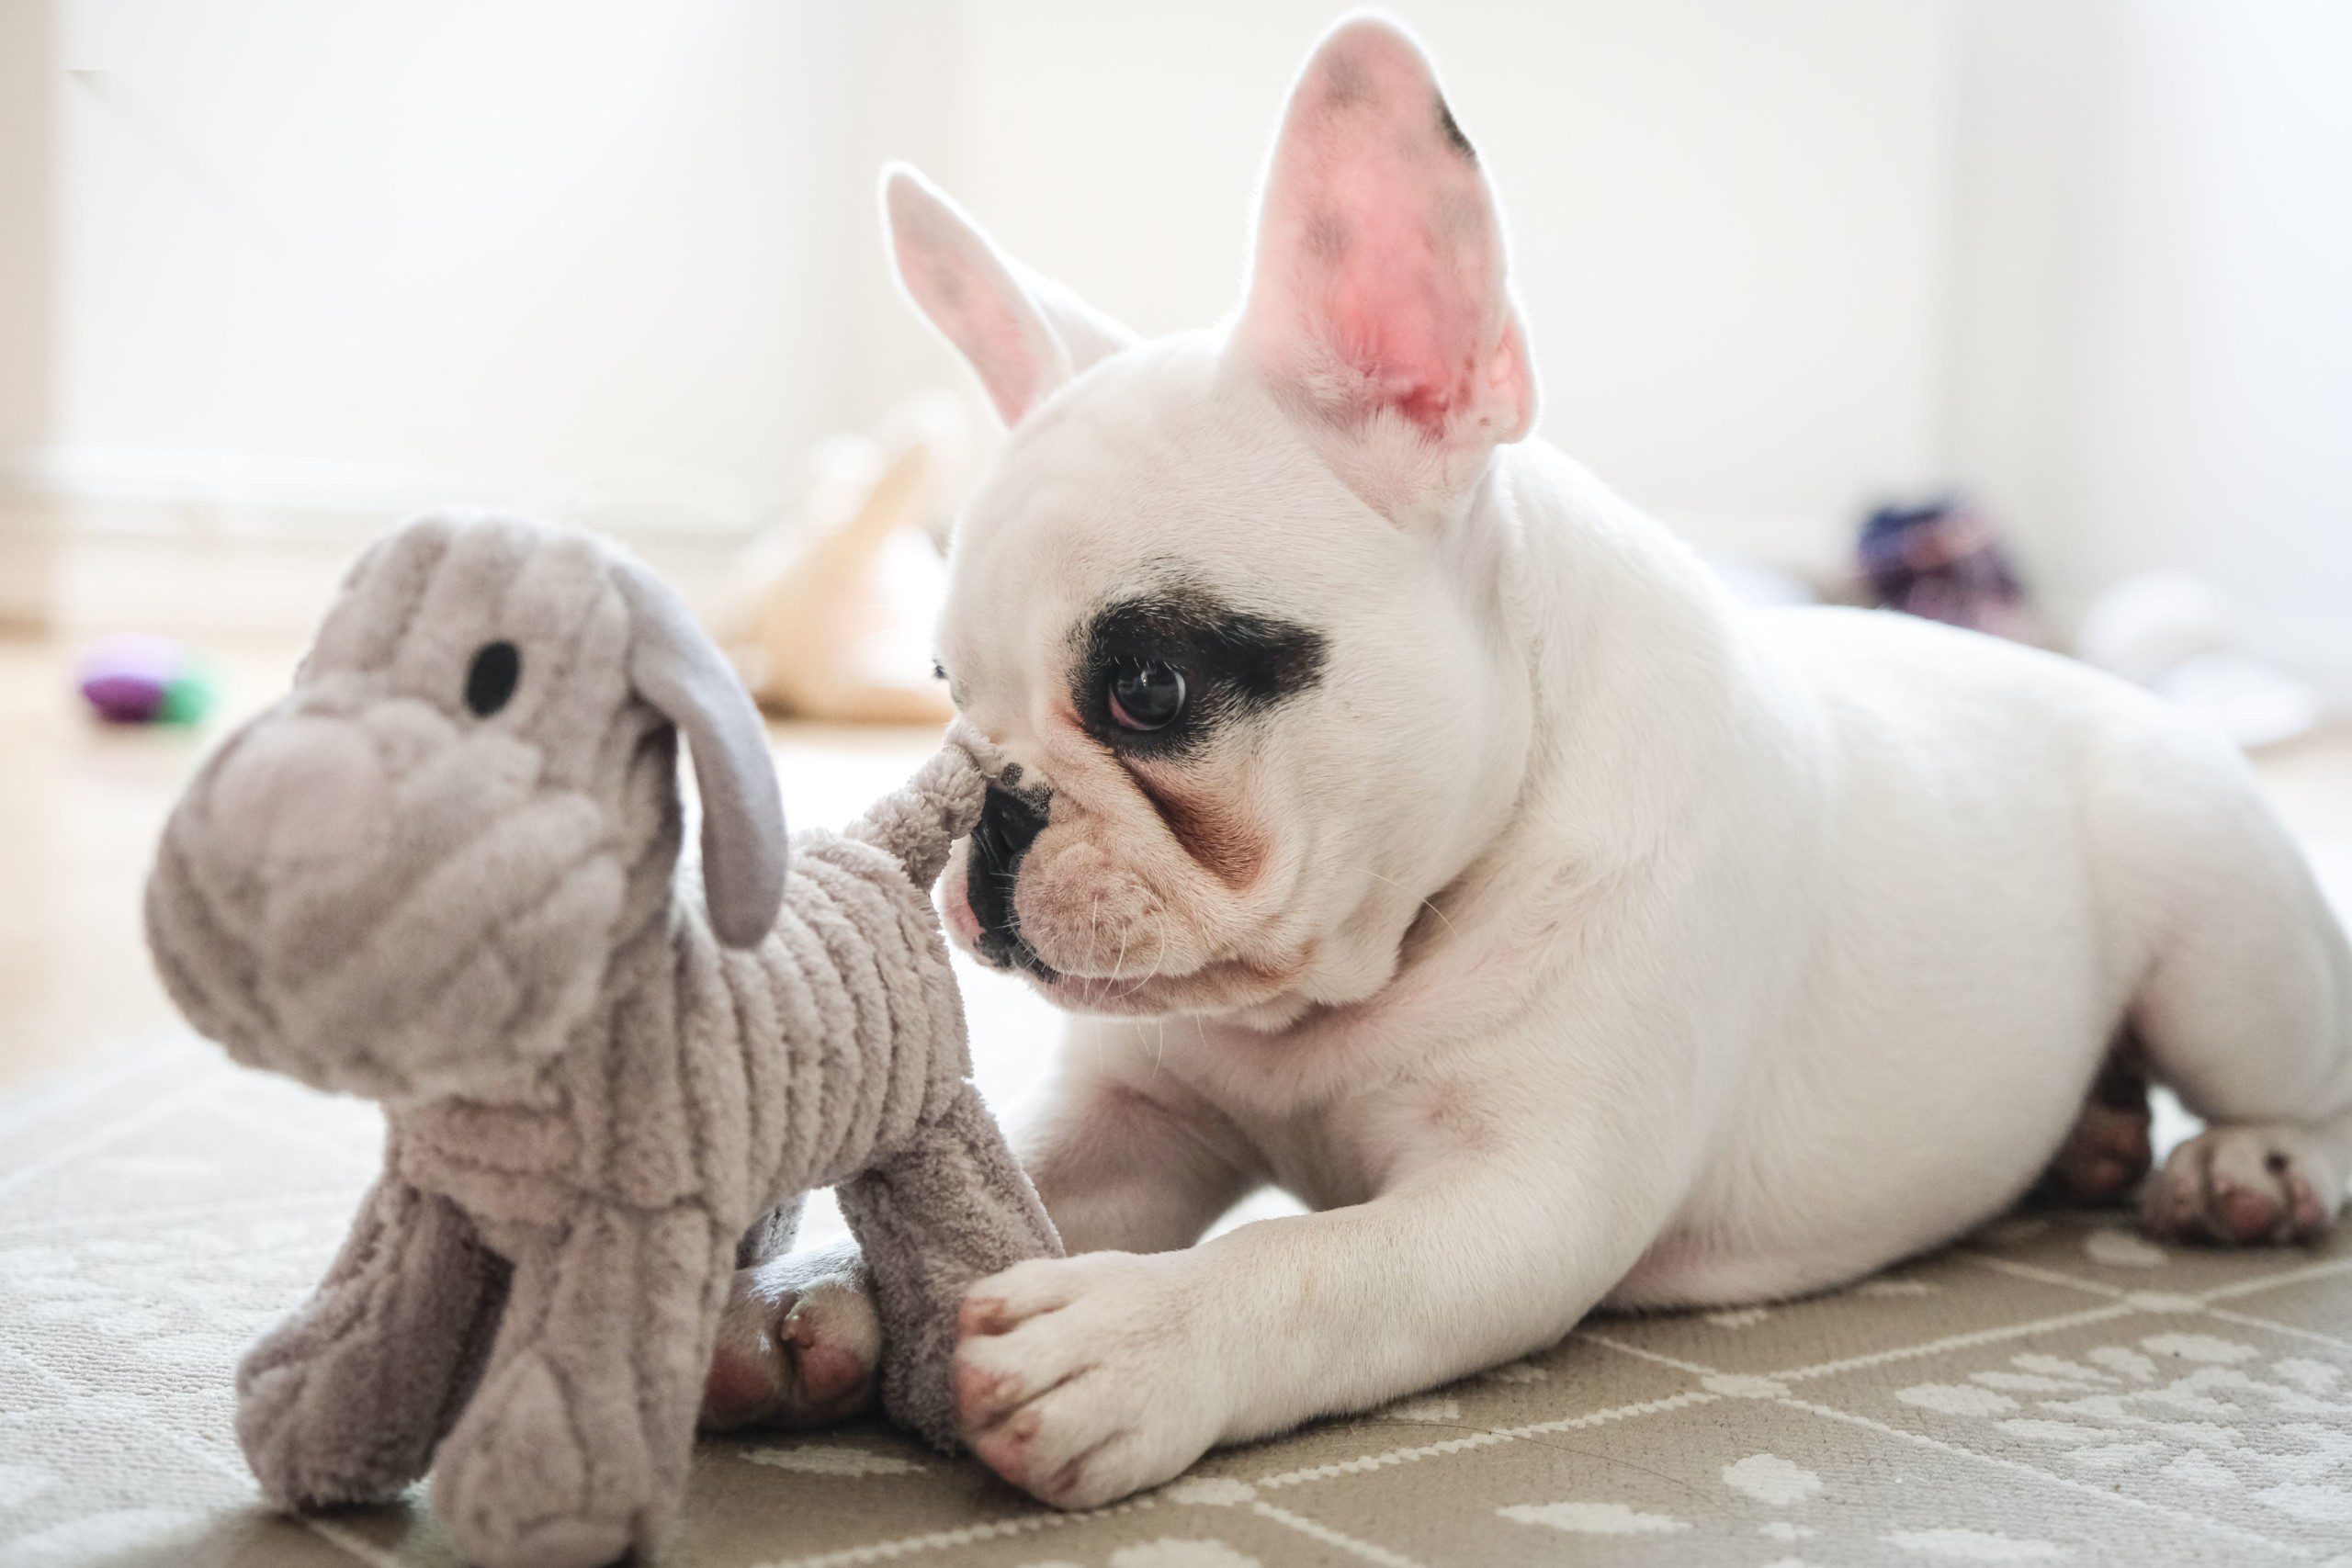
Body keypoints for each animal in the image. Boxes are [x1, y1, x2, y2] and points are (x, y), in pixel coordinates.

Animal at [706, 12, 2352, 1504]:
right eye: (945, 689)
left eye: (1150, 687)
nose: (992, 811)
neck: (1376, 949)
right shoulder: (1137, 1119)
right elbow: (1031, 1177)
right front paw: (816, 1288)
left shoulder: (1520, 1201)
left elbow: (1315, 1262)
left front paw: (1125, 1336)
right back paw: (2096, 1134)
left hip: (2221, 948)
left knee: (2298, 1078)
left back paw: (2249, 1166)